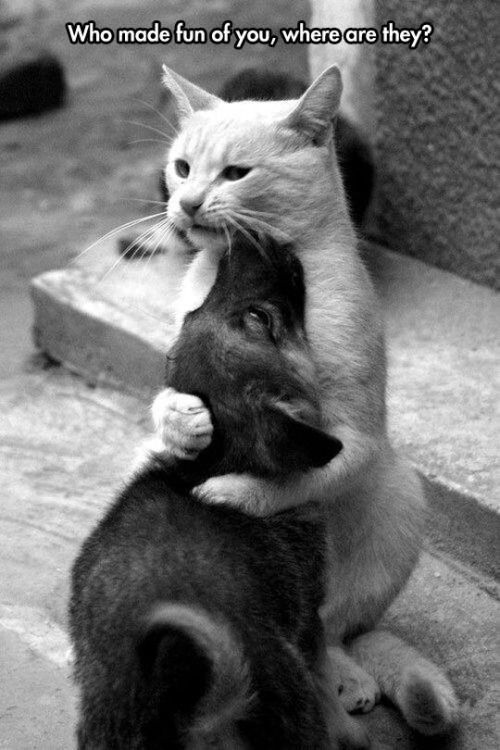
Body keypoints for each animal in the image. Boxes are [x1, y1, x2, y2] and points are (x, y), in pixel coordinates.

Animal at [69, 235, 368, 750]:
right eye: (260, 319)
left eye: (191, 314)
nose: (254, 239)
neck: (217, 461)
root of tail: (199, 704)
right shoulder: (310, 621)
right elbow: (327, 677)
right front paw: (349, 729)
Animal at [149, 64, 460, 740]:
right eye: (182, 168)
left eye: (235, 173)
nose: (186, 204)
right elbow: (165, 399)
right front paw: (183, 423)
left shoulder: (355, 437)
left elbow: (292, 475)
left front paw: (233, 492)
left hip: (399, 494)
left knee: (333, 630)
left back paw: (347, 677)